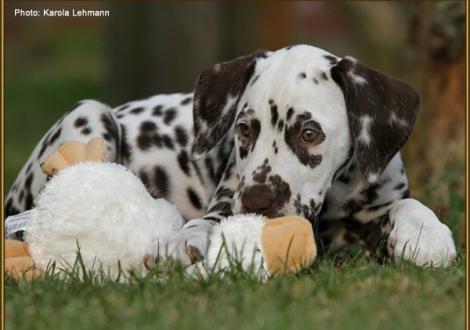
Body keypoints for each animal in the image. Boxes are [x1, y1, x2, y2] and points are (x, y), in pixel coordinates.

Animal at [6, 45, 456, 266]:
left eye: (310, 133)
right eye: (244, 129)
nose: (256, 202)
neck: (336, 193)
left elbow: (408, 206)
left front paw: (427, 234)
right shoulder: (227, 200)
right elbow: (207, 222)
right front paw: (182, 239)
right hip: (90, 112)